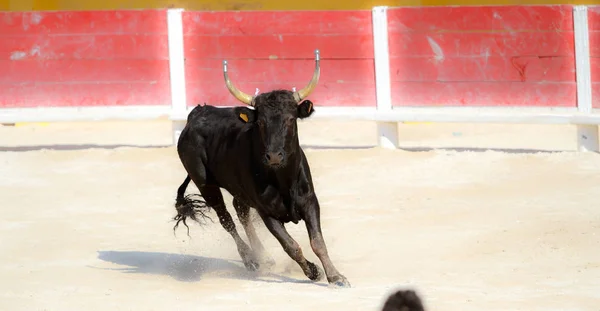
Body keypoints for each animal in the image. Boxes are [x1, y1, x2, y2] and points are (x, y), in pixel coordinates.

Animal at [171, 50, 350, 288]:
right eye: (261, 122)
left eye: (291, 119)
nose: (273, 156)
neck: (283, 180)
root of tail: (196, 114)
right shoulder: (267, 213)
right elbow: (291, 246)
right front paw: (313, 271)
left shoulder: (310, 201)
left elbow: (317, 242)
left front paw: (336, 277)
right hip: (205, 184)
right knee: (226, 219)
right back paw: (251, 259)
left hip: (238, 190)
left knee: (240, 211)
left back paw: (263, 257)